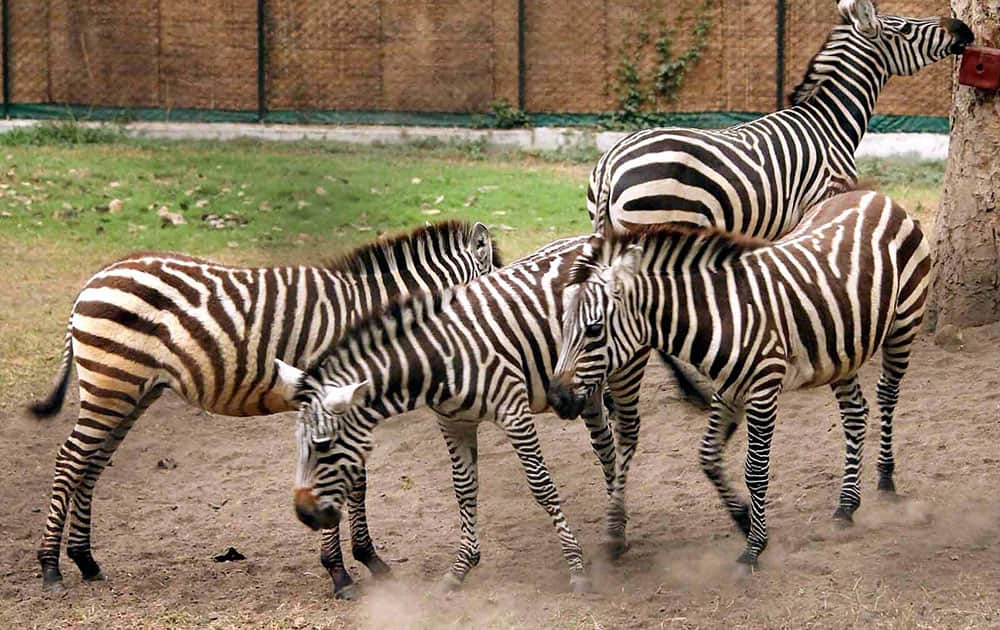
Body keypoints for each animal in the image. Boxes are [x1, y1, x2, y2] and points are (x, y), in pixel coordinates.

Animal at [28, 221, 500, 596]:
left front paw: (369, 559)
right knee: (70, 460)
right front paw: (340, 575)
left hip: (131, 394)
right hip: (111, 386)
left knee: (91, 465)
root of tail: (95, 279)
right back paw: (51, 568)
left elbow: (356, 481)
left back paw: (86, 561)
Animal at [274, 236, 652, 592]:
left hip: (624, 367)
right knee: (605, 446)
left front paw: (575, 568)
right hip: (584, 386)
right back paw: (614, 526)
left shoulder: (515, 413)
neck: (438, 359)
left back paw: (616, 531)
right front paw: (462, 567)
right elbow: (464, 487)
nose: (303, 513)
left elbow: (541, 486)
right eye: (298, 444)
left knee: (627, 435)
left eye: (323, 445)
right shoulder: (453, 422)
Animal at [548, 190, 928, 572]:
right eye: (563, 325)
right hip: (840, 349)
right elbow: (708, 457)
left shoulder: (763, 389)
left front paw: (753, 548)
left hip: (903, 323)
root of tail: (875, 195)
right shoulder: (729, 388)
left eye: (594, 329)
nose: (557, 399)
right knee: (855, 414)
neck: (722, 314)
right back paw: (847, 505)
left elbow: (755, 471)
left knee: (887, 396)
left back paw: (886, 479)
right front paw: (744, 520)